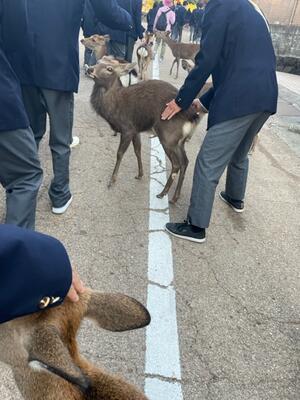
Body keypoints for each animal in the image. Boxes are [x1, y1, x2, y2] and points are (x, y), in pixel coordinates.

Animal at [86, 59, 204, 205]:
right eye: (98, 61)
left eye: (109, 68)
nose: (89, 69)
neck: (113, 109)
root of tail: (192, 116)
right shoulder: (136, 130)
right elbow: (138, 150)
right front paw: (140, 174)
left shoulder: (127, 128)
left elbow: (119, 154)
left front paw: (112, 181)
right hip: (179, 141)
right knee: (185, 162)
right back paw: (174, 198)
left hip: (168, 136)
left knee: (176, 164)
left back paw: (162, 193)